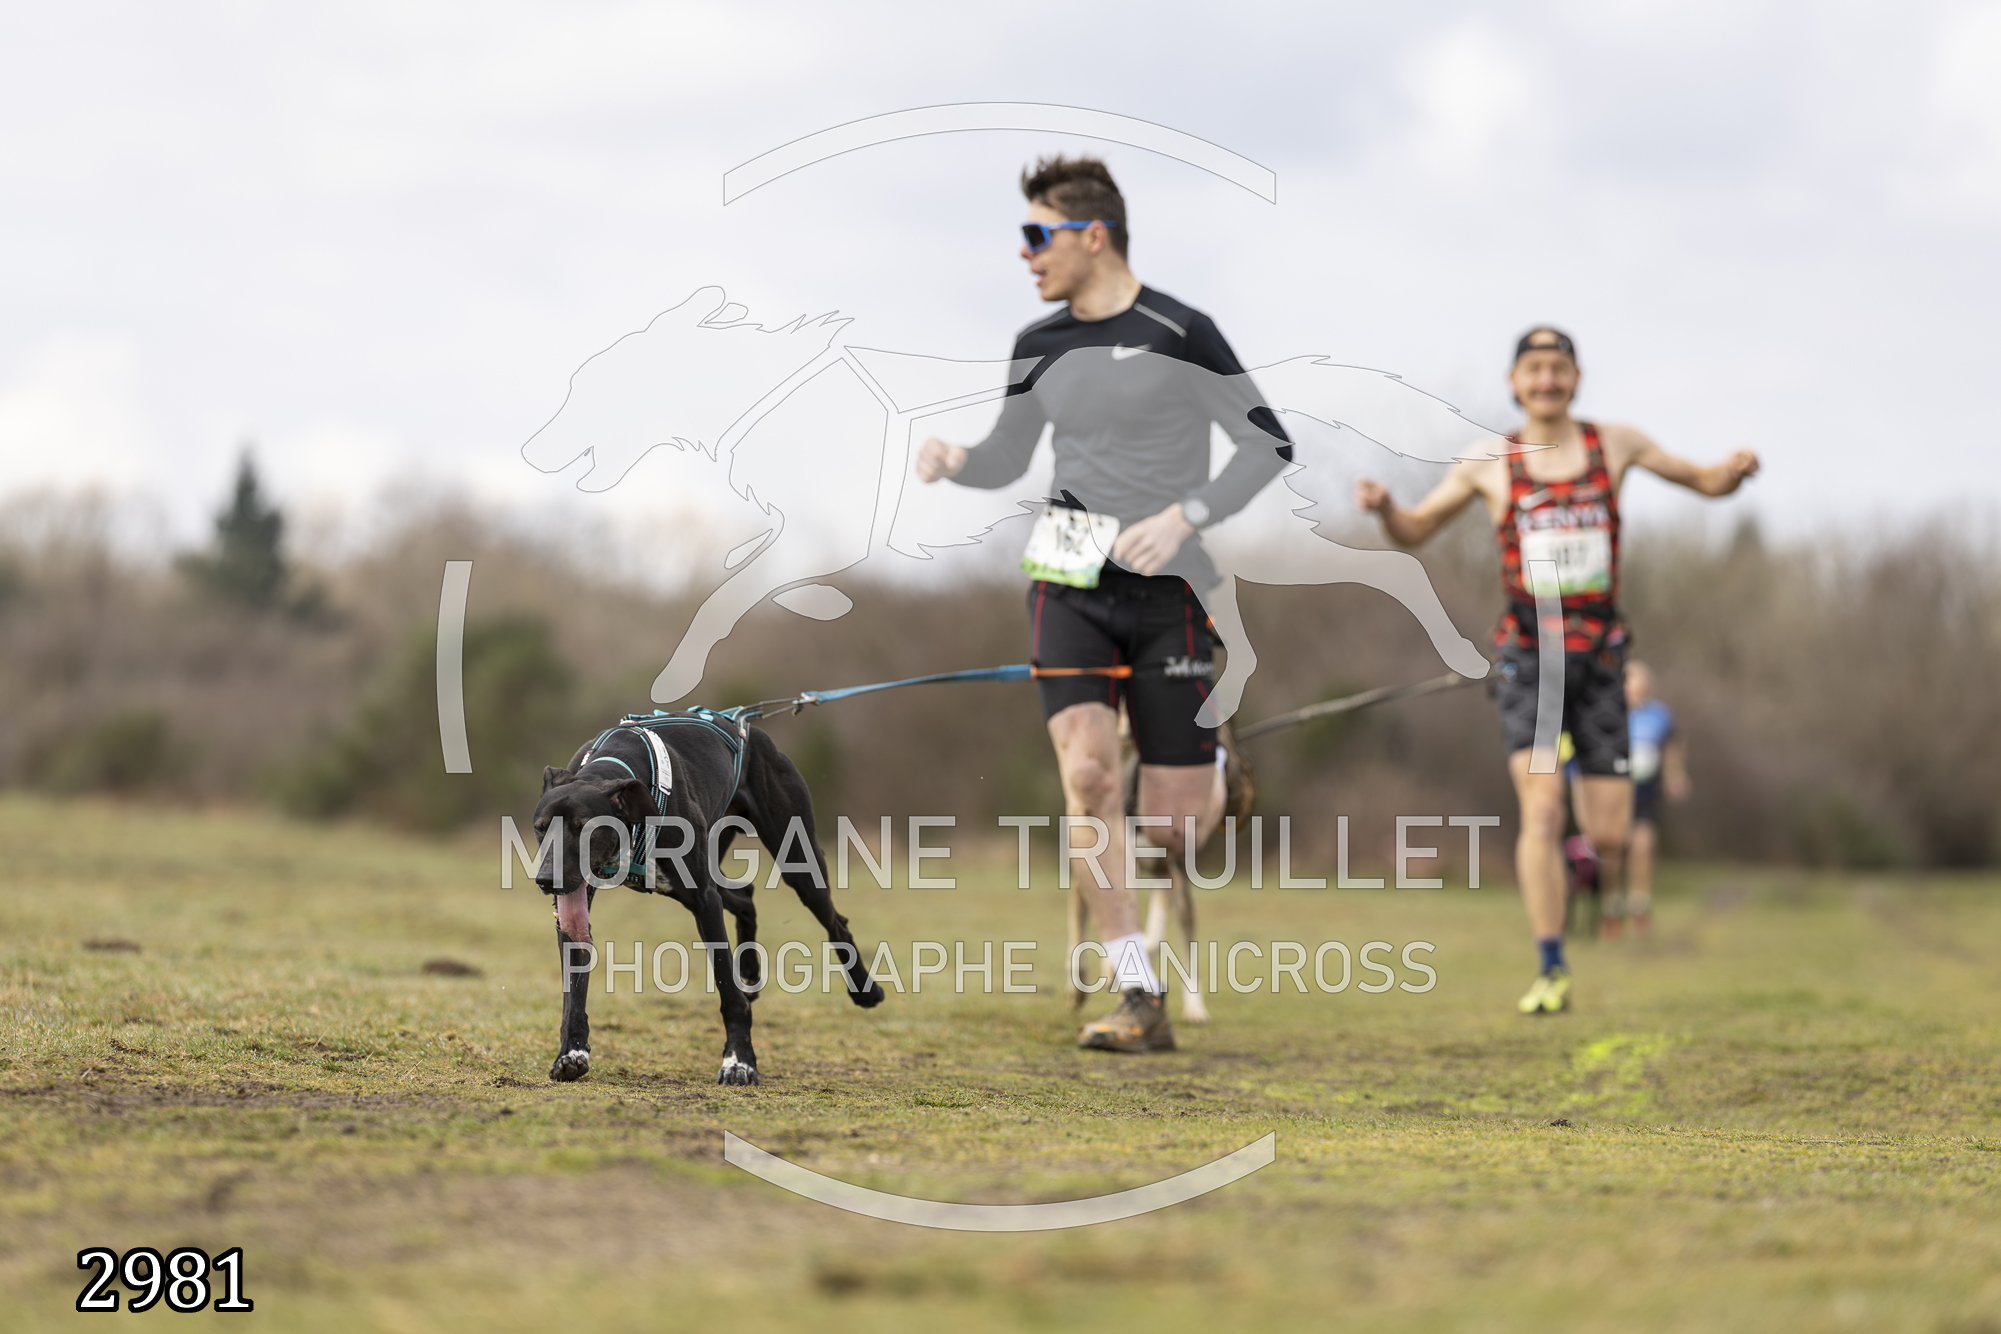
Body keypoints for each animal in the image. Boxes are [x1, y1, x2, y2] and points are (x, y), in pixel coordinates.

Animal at [531, 710, 884, 1086]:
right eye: (540, 827)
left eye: (585, 827)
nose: (547, 880)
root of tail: (751, 728)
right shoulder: (579, 903)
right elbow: (574, 992)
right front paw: (571, 1053)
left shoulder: (703, 900)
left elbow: (727, 990)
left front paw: (739, 1062)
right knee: (746, 896)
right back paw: (749, 972)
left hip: (797, 860)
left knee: (835, 922)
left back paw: (864, 989)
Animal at [1065, 713, 1257, 1023]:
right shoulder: (1088, 877)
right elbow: (1077, 939)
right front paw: (1077, 989)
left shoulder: (1166, 872)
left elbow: (1152, 939)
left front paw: (1112, 969)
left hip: (1180, 889)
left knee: (1187, 945)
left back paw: (1194, 1008)